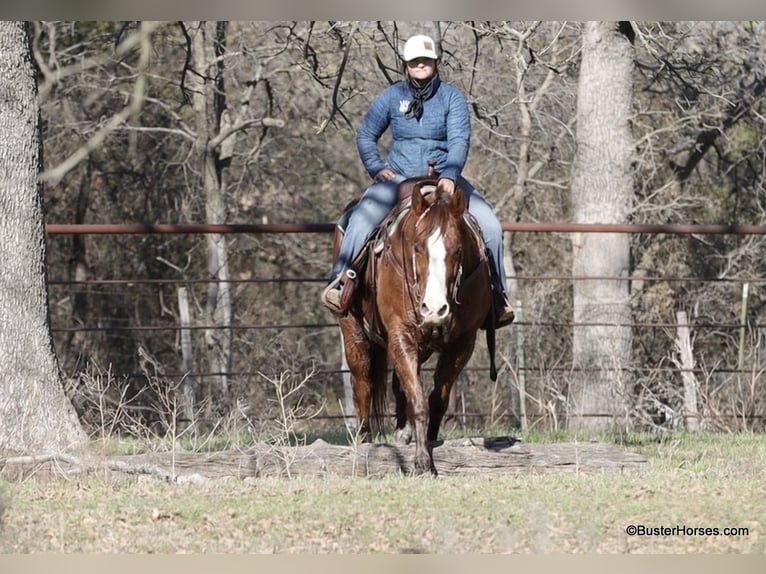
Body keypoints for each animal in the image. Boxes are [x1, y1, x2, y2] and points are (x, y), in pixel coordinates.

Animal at [331, 176, 498, 475]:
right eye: (417, 247)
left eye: (458, 250)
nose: (434, 309)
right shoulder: (400, 333)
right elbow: (419, 400)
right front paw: (422, 461)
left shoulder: (462, 342)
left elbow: (436, 399)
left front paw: (429, 443)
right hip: (353, 328)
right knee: (362, 379)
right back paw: (364, 439)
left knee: (399, 385)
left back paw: (403, 433)